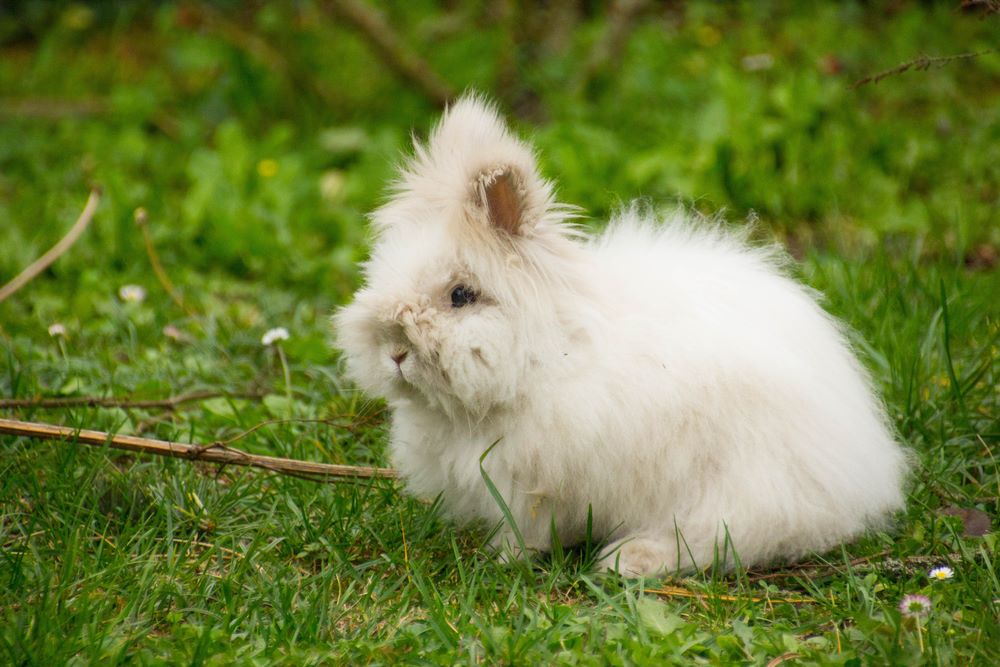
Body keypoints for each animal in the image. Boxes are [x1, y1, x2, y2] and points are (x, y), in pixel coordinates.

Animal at [332, 95, 912, 580]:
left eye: (460, 295)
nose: (395, 352)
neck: (550, 359)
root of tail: (865, 468)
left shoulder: (534, 483)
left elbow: (526, 528)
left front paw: (503, 560)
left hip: (742, 491)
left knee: (715, 540)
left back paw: (628, 561)